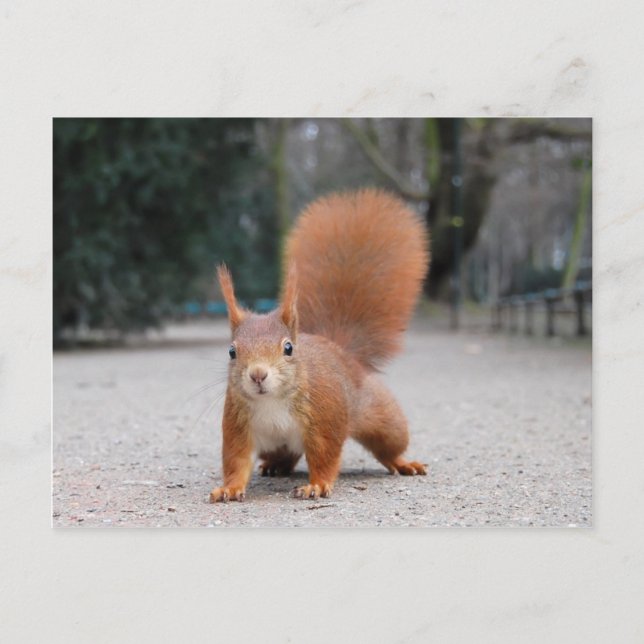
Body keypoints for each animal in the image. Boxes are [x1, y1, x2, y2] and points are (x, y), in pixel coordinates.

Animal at [209, 188, 430, 502]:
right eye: (231, 351)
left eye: (288, 348)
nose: (258, 374)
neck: (272, 401)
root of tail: (340, 349)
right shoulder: (238, 426)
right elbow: (236, 461)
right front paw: (229, 488)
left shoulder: (325, 419)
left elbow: (324, 456)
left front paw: (317, 485)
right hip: (274, 444)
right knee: (285, 454)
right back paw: (275, 466)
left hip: (383, 418)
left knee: (389, 446)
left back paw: (403, 463)